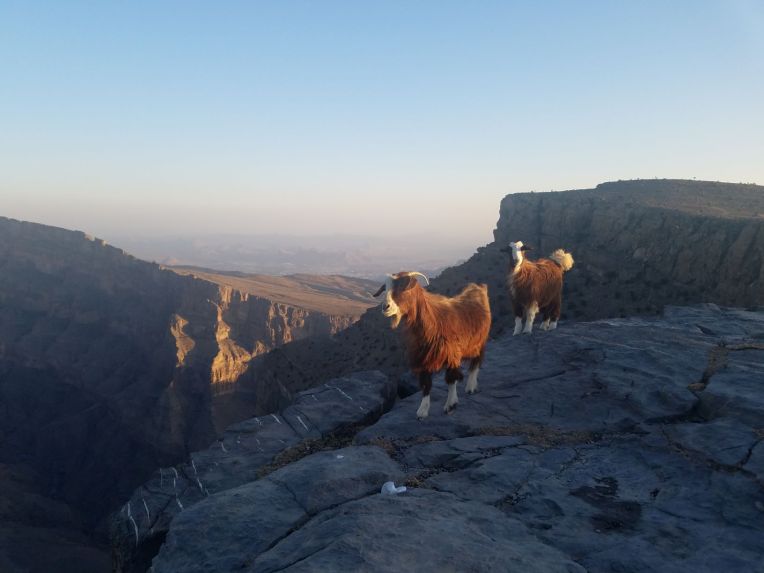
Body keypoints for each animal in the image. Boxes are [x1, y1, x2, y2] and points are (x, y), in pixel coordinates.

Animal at [373, 271, 491, 420]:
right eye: (386, 288)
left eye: (402, 287)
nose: (385, 307)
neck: (432, 322)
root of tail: (479, 287)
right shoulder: (423, 357)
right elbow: (426, 384)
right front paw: (422, 411)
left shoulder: (452, 354)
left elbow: (451, 379)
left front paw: (450, 405)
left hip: (480, 341)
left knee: (476, 362)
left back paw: (471, 387)